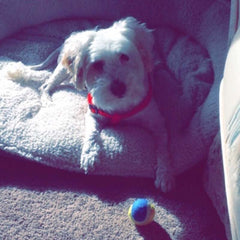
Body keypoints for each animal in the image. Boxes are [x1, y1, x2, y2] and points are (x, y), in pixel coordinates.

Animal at [8, 16, 175, 192]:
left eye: (124, 57)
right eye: (97, 65)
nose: (119, 88)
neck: (120, 105)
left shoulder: (158, 124)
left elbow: (163, 149)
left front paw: (165, 173)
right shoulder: (93, 114)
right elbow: (92, 133)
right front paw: (89, 155)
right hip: (64, 71)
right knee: (46, 85)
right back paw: (47, 100)